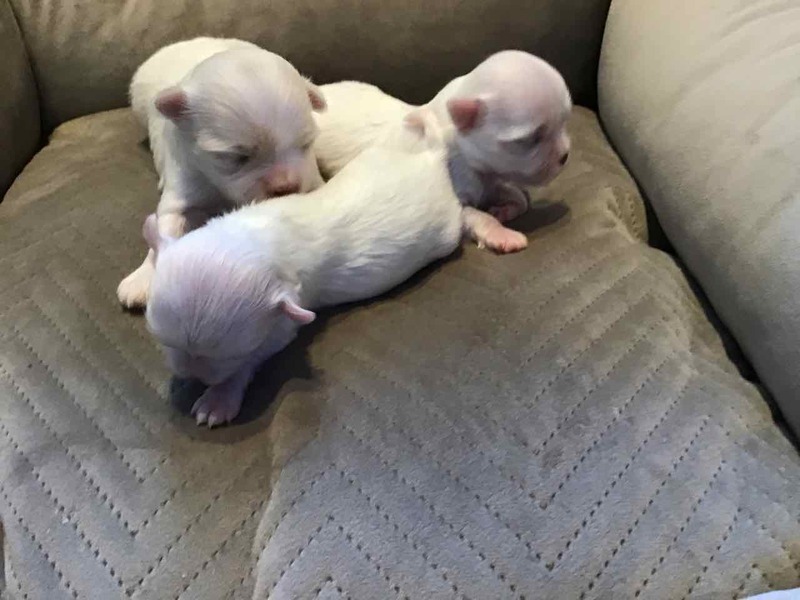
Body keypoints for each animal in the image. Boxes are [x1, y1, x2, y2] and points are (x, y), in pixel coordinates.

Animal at [117, 37, 327, 309]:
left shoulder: (311, 176)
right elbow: (164, 229)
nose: (286, 188)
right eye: (236, 157)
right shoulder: (182, 187)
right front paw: (142, 278)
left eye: (306, 143)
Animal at [145, 110, 462, 427]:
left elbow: (258, 355)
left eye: (233, 354)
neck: (255, 233)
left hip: (448, 233)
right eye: (164, 341)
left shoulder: (285, 319)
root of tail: (432, 162)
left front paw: (219, 397)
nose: (194, 376)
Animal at [314, 50, 572, 254]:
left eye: (564, 122)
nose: (565, 156)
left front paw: (504, 210)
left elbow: (518, 197)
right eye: (530, 140)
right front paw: (501, 234)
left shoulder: (489, 181)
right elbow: (478, 216)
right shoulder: (453, 200)